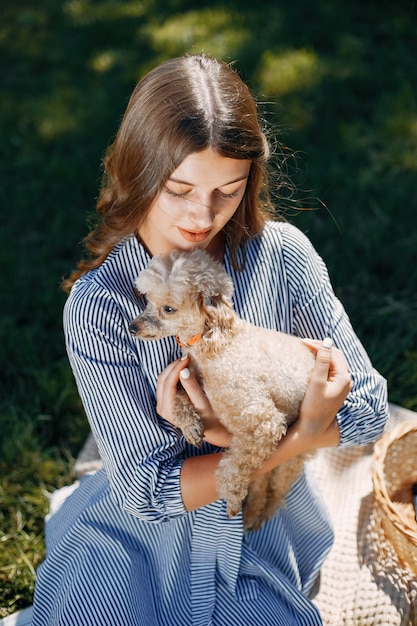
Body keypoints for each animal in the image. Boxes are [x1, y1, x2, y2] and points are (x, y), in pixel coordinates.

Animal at [128, 246, 314, 528]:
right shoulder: (186, 373)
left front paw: (233, 498)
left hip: (294, 455)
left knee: (276, 487)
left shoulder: (264, 424)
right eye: (147, 300)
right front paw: (191, 426)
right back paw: (253, 514)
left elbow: (235, 465)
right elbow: (177, 395)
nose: (132, 327)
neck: (213, 342)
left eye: (169, 309)